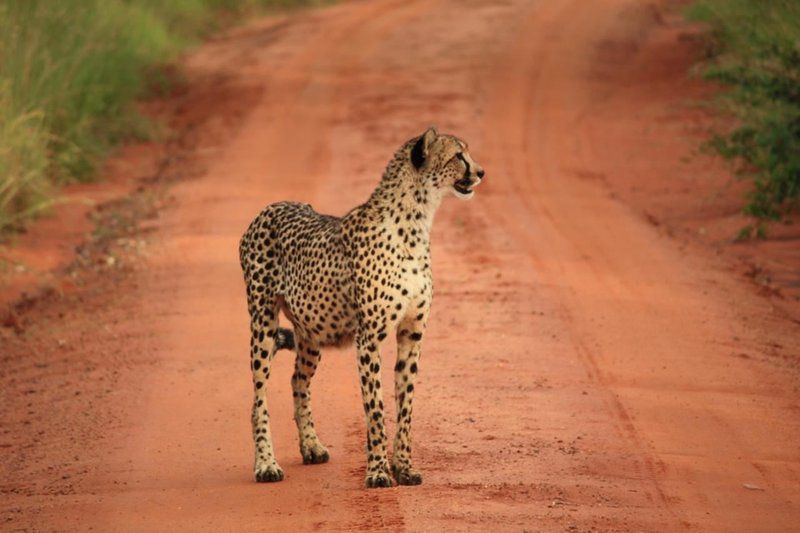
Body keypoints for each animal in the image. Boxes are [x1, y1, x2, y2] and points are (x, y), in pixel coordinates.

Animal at [238, 128, 484, 486]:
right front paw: (379, 471)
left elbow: (405, 406)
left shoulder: (412, 334)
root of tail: (272, 206)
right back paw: (266, 465)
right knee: (258, 398)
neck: (415, 222)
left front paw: (404, 467)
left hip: (312, 331)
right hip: (263, 322)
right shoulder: (368, 337)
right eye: (457, 156)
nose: (481, 172)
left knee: (298, 381)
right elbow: (376, 409)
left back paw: (311, 446)